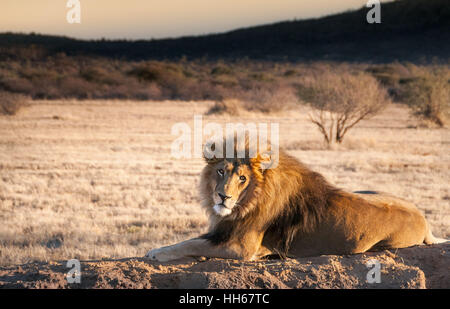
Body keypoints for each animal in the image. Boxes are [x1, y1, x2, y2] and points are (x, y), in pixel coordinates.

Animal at [145, 137, 446, 260]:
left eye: (242, 178)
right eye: (221, 171)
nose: (223, 196)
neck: (247, 203)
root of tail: (425, 220)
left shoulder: (240, 247)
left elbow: (190, 244)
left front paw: (156, 253)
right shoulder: (222, 232)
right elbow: (188, 240)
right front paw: (157, 249)